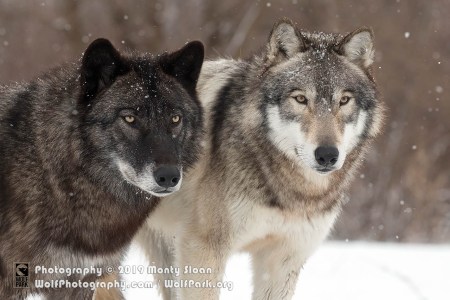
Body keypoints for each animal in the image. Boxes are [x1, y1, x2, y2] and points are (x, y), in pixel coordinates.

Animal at [137, 18, 384, 300]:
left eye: (344, 100)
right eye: (300, 98)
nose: (327, 155)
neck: (292, 192)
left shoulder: (283, 260)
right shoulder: (202, 248)